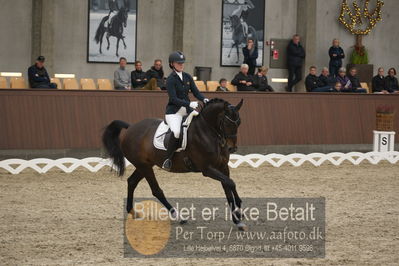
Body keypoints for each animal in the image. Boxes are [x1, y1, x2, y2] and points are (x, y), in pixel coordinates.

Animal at [103, 98, 247, 230]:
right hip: (144, 166)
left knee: (132, 182)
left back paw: (132, 212)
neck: (207, 132)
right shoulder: (207, 169)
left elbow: (228, 188)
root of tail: (130, 127)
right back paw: (178, 217)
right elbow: (231, 183)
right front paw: (239, 209)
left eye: (239, 122)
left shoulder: (222, 167)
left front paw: (237, 218)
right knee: (156, 190)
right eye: (226, 122)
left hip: (144, 165)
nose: (231, 148)